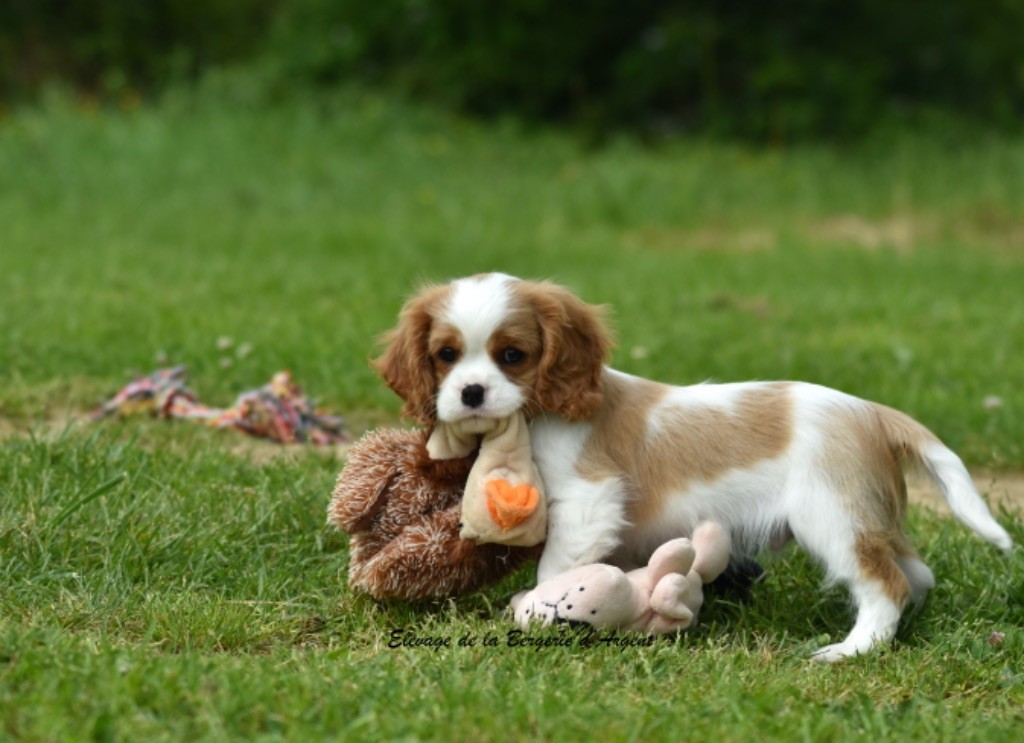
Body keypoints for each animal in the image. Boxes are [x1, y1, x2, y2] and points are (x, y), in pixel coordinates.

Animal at [373, 272, 1013, 661]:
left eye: (512, 356)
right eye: (445, 355)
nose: (472, 393)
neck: (539, 415)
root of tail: (872, 412)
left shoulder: (586, 499)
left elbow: (557, 565)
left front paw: (539, 608)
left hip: (833, 518)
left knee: (884, 583)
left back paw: (852, 650)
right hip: (867, 513)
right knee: (914, 572)